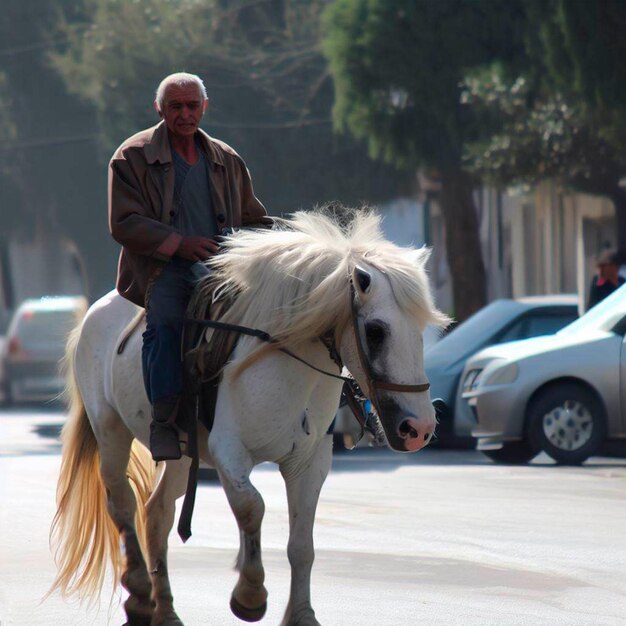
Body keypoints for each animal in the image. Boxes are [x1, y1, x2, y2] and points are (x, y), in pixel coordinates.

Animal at [51, 210, 446, 624]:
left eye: (421, 331)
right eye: (376, 331)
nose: (420, 428)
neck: (285, 359)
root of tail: (96, 310)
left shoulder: (309, 463)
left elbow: (301, 543)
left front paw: (301, 614)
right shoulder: (229, 451)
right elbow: (251, 507)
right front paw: (250, 593)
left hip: (182, 454)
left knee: (157, 512)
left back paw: (167, 610)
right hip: (110, 430)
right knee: (122, 502)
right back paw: (141, 593)